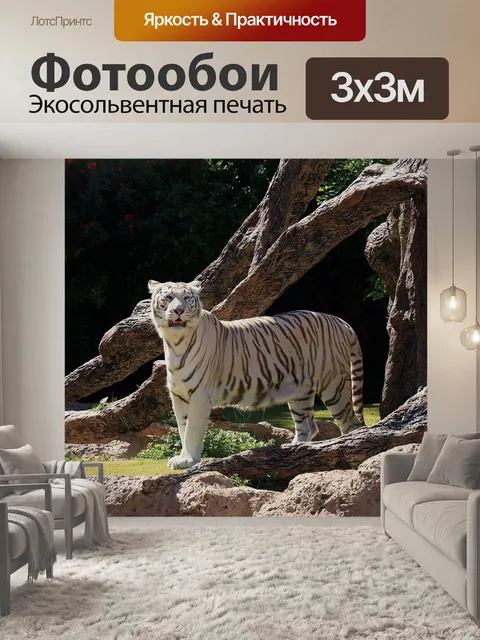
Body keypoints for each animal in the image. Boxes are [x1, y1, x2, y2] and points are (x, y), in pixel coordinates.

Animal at [148, 279, 365, 470]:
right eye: (168, 297)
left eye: (187, 298)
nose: (179, 310)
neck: (176, 343)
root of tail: (340, 321)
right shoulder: (179, 395)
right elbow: (182, 427)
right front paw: (183, 458)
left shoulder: (199, 395)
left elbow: (192, 429)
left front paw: (190, 461)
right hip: (300, 392)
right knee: (308, 426)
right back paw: (294, 451)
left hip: (334, 386)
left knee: (351, 426)